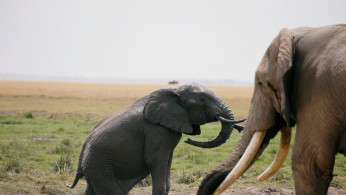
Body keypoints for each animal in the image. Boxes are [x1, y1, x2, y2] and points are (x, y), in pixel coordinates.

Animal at [65, 83, 243, 195]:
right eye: (202, 101)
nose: (240, 127)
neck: (174, 90)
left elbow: (167, 163)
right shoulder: (155, 130)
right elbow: (155, 160)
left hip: (96, 168)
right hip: (100, 166)